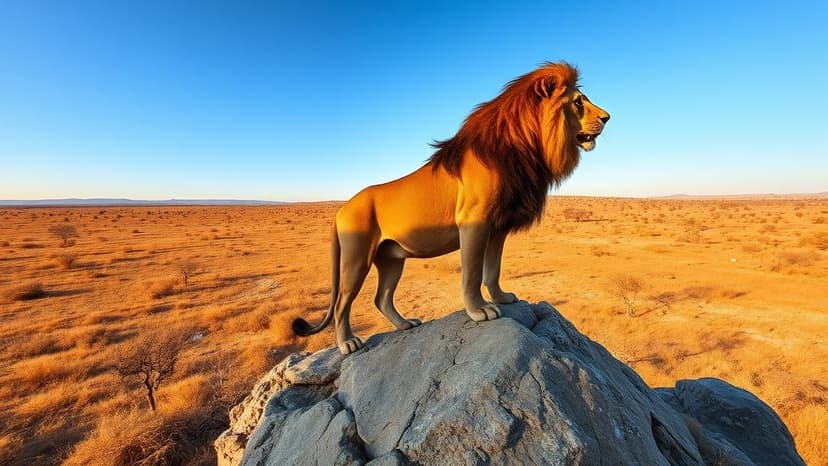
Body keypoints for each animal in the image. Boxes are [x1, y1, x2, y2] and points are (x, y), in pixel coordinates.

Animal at [292, 62, 610, 354]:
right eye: (578, 102)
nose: (608, 117)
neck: (526, 149)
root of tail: (341, 209)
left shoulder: (498, 228)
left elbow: (492, 270)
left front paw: (501, 297)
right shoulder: (474, 221)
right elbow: (472, 272)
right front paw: (480, 310)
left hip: (391, 258)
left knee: (381, 298)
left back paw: (405, 324)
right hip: (357, 258)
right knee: (341, 303)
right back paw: (347, 343)